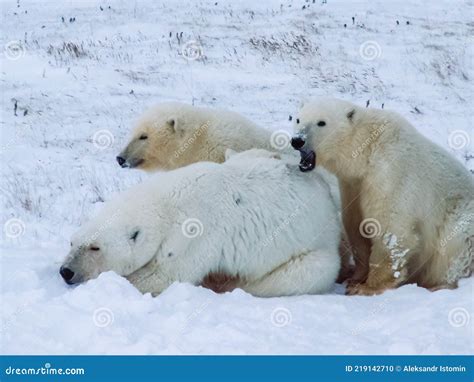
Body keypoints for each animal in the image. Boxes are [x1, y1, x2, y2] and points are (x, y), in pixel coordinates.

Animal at [60, 150, 340, 298]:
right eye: (72, 242)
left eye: (95, 247)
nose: (66, 271)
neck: (168, 201)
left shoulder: (194, 232)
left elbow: (165, 275)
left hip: (316, 249)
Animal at [290, 97, 472, 294]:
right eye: (298, 119)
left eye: (321, 122)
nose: (297, 140)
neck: (367, 148)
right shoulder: (353, 184)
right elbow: (356, 226)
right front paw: (355, 278)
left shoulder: (390, 174)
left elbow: (389, 229)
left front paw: (366, 288)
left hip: (461, 215)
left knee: (456, 244)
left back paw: (438, 285)